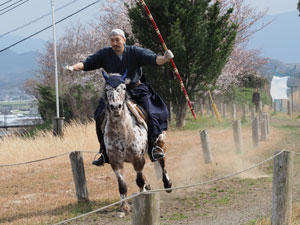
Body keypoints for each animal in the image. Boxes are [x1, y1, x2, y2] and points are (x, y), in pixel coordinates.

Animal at [99, 71, 172, 217]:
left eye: (123, 88)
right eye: (107, 89)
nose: (115, 107)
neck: (122, 131)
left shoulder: (138, 158)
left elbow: (139, 180)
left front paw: (142, 197)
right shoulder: (116, 161)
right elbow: (122, 185)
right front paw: (123, 209)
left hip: (160, 141)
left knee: (162, 162)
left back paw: (167, 184)